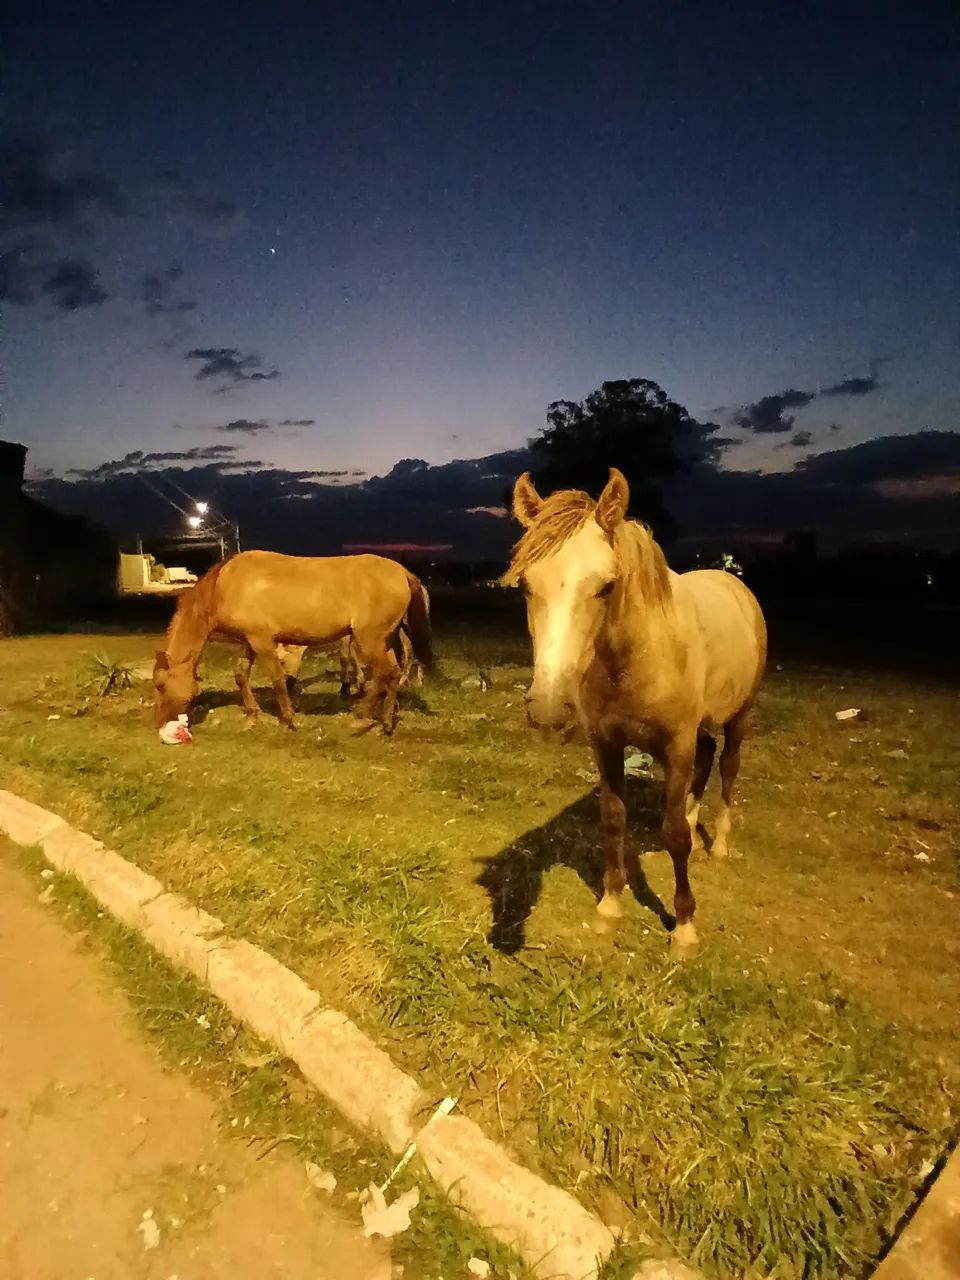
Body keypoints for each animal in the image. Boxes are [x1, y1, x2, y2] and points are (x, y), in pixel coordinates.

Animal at [153, 550, 432, 735]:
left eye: (161, 685)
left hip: (369, 639)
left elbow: (277, 678)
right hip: (386, 640)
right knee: (393, 673)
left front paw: (287, 718)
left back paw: (359, 714)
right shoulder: (249, 641)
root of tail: (403, 572)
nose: (160, 723)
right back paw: (386, 722)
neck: (225, 585)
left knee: (384, 673)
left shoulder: (262, 640)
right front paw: (252, 715)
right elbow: (241, 675)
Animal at [504, 468, 766, 953]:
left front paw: (684, 927)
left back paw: (719, 844)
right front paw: (610, 906)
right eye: (527, 586)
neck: (640, 655)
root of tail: (734, 583)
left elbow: (675, 836)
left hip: (740, 716)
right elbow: (613, 819)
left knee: (728, 767)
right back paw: (693, 819)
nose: (548, 709)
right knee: (705, 760)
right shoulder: (607, 743)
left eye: (606, 586)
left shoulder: (676, 744)